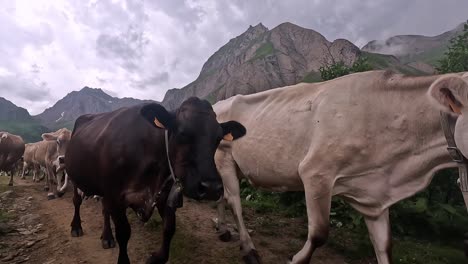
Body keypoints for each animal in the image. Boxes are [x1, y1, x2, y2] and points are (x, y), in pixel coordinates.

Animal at [66, 98, 249, 264]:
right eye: (182, 133)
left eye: (218, 138)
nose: (211, 188)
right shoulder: (115, 196)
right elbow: (124, 233)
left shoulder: (164, 194)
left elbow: (169, 227)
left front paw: (157, 257)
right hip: (75, 176)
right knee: (77, 201)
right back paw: (76, 227)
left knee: (104, 210)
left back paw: (107, 237)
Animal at [213, 70, 468, 264]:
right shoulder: (316, 172)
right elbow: (319, 234)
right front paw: (296, 259)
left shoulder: (374, 194)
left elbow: (384, 246)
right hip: (223, 158)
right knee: (234, 200)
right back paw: (249, 248)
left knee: (221, 196)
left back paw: (223, 229)